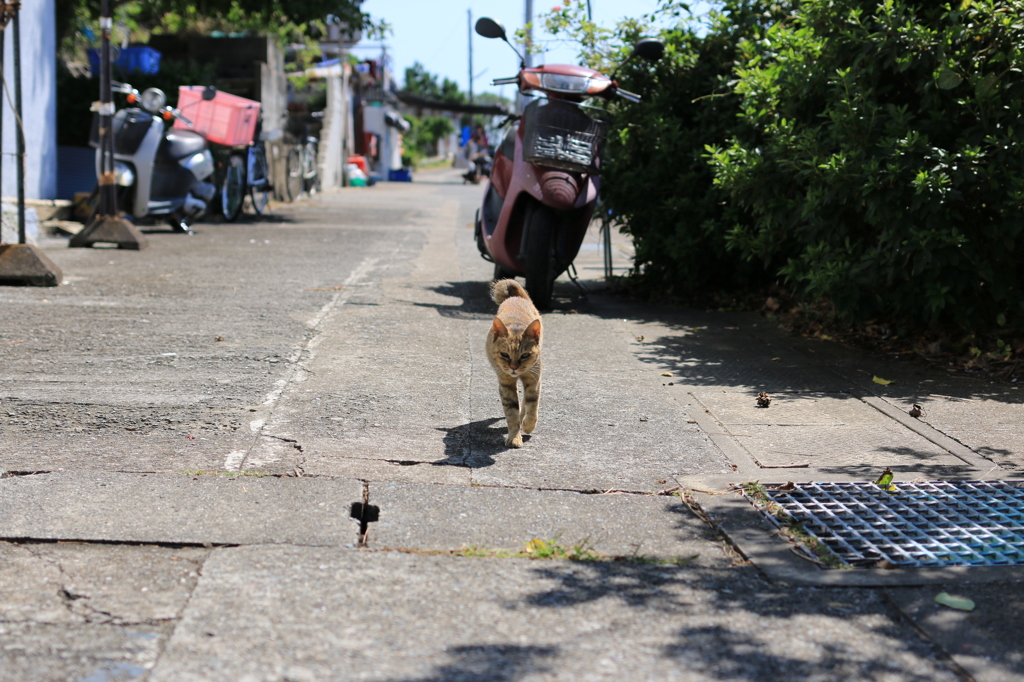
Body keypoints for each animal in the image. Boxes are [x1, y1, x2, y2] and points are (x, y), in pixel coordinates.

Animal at [487, 276, 544, 446]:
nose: (513, 367)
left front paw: (528, 425)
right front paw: (514, 437)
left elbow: (532, 407)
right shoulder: (506, 385)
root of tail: (515, 297)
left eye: (525, 355)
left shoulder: (534, 381)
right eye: (504, 354)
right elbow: (511, 413)